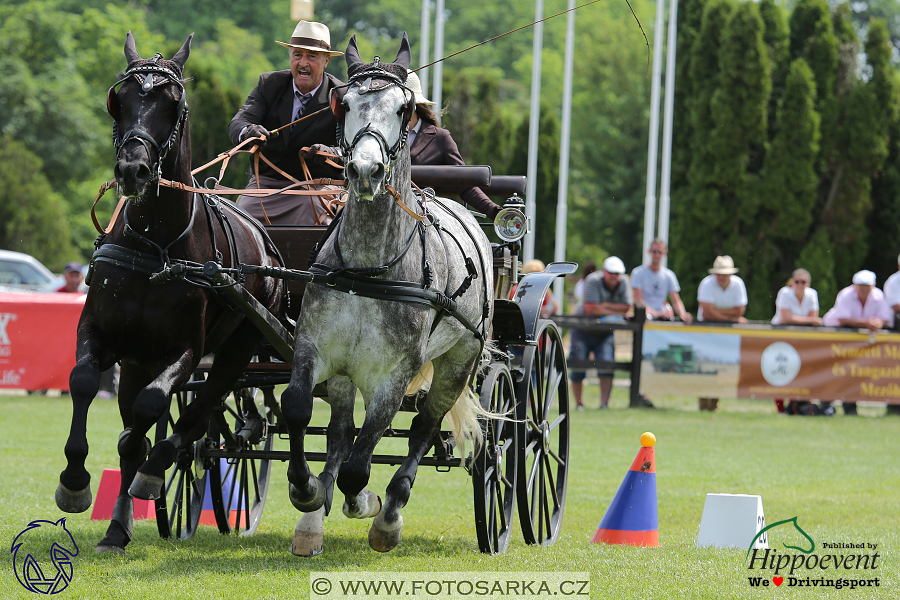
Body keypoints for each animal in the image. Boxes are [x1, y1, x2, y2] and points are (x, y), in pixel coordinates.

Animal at [55, 32, 284, 552]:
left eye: (172, 103)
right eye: (118, 100)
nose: (133, 170)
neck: (156, 244)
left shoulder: (184, 349)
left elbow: (153, 408)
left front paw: (150, 474)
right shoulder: (102, 331)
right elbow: (85, 384)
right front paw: (75, 482)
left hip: (237, 348)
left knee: (198, 414)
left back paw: (162, 466)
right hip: (139, 359)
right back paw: (118, 527)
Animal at [284, 35, 496, 556]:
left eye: (404, 108)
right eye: (343, 104)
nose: (364, 169)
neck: (368, 269)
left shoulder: (393, 375)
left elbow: (364, 458)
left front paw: (366, 504)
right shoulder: (317, 349)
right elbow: (299, 411)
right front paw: (308, 491)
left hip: (460, 359)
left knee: (423, 426)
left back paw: (390, 513)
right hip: (347, 374)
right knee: (341, 431)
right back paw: (314, 520)